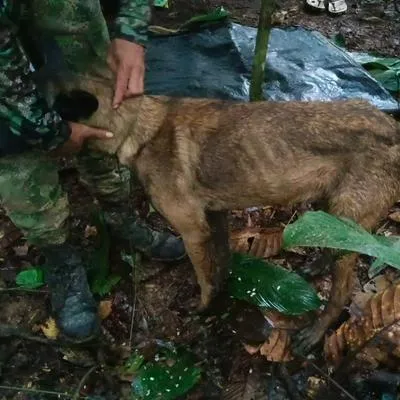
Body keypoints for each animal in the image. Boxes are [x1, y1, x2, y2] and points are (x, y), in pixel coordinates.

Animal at [54, 69, 400, 354]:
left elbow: (205, 278)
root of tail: (391, 126)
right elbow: (219, 265)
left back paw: (316, 331)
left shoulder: (193, 230)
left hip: (348, 222)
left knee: (342, 292)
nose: (43, 133)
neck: (140, 126)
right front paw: (221, 296)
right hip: (327, 209)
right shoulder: (215, 218)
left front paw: (203, 309)